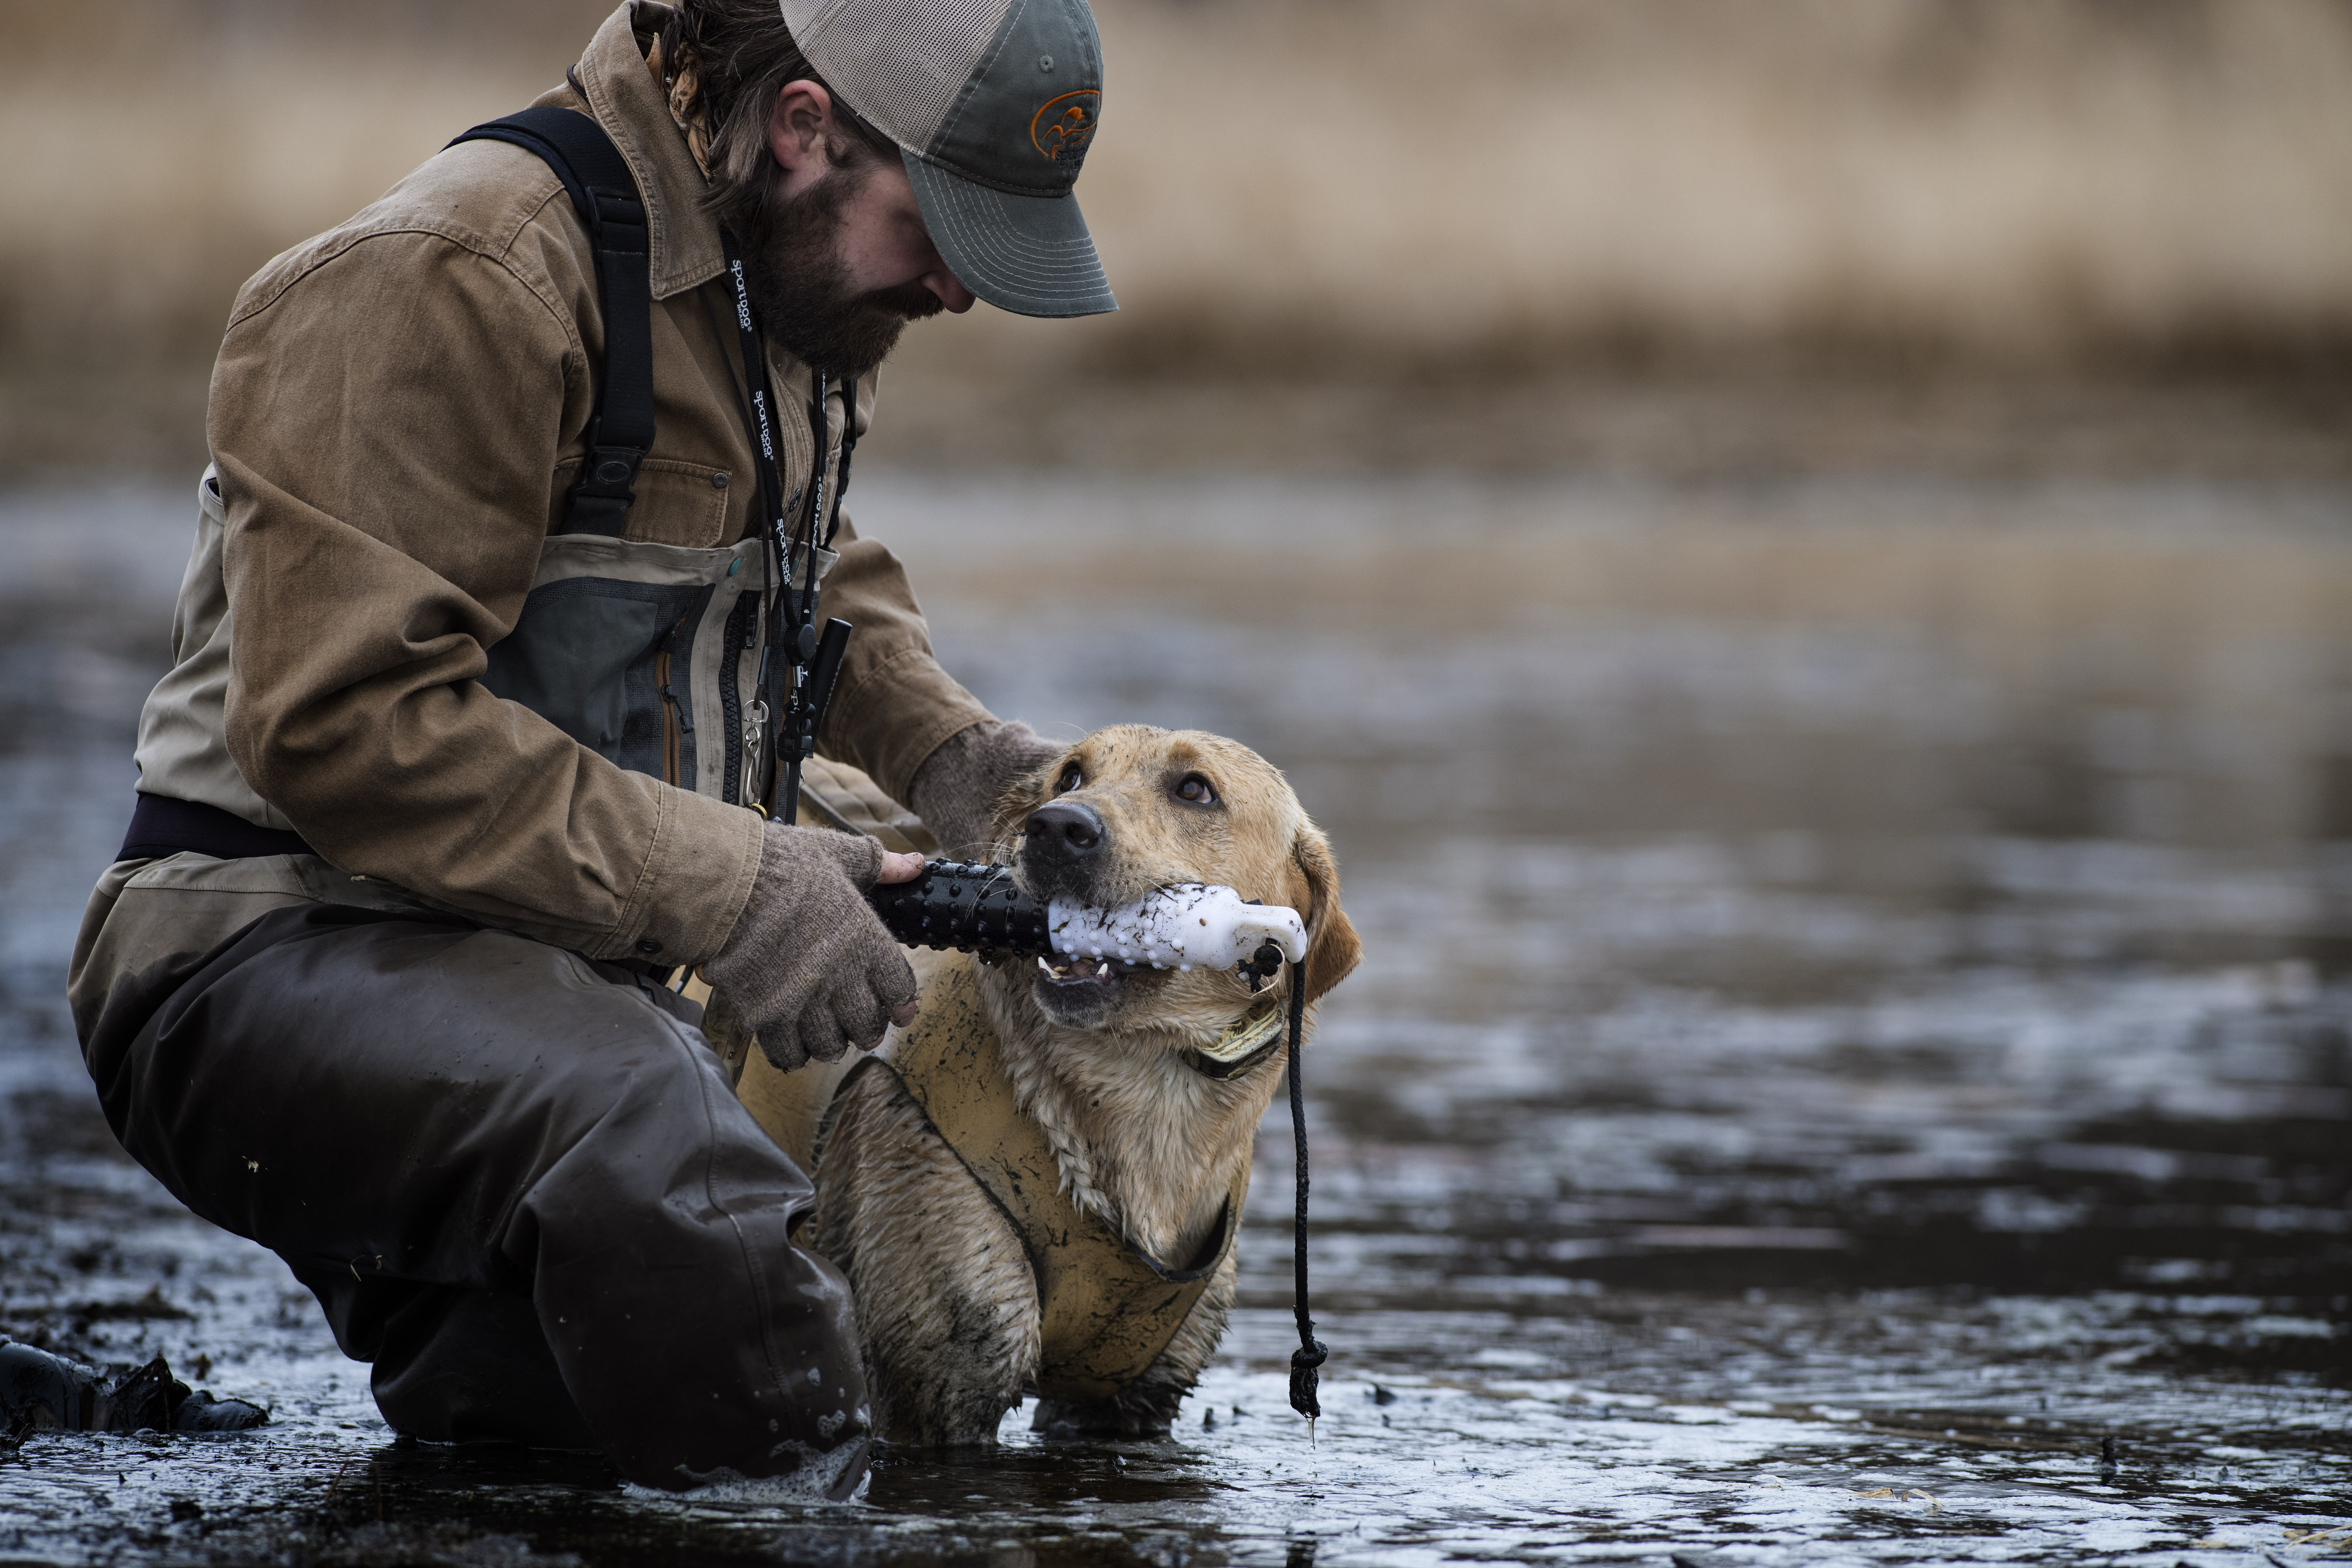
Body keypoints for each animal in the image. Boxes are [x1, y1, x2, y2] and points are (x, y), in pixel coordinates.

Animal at [734, 729, 1364, 1457]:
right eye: (1069, 777)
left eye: (1195, 789)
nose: (1057, 827)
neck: (1145, 1101)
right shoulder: (932, 1388)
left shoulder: (1132, 1400)